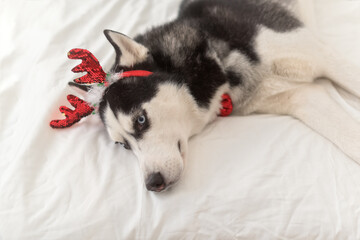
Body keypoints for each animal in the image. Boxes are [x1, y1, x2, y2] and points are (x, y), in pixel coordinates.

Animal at [78, 0, 360, 191]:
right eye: (123, 145)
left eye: (140, 120)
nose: (152, 183)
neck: (219, 64)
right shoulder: (301, 98)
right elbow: (349, 136)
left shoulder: (323, 56)